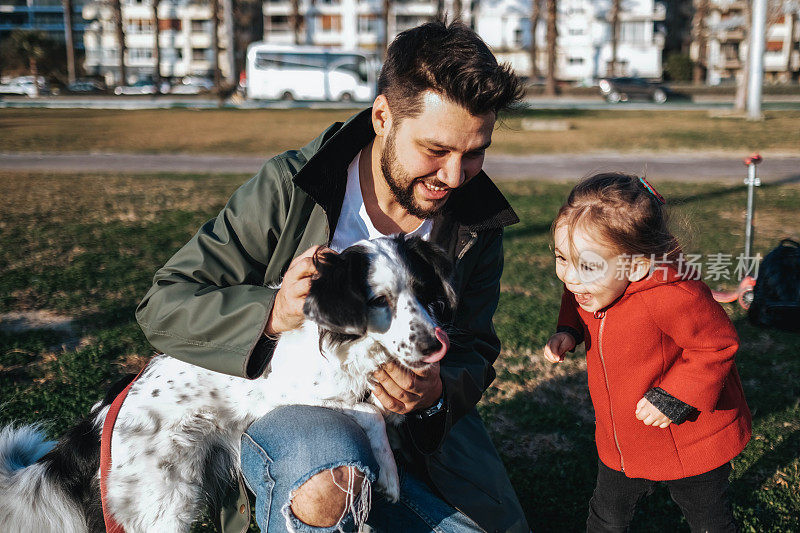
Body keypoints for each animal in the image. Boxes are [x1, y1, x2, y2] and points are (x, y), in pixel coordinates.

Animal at [0, 237, 456, 532]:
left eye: (422, 291)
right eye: (378, 301)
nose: (435, 347)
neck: (345, 341)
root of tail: (100, 419)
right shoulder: (286, 395)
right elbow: (371, 412)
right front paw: (390, 474)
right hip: (164, 507)